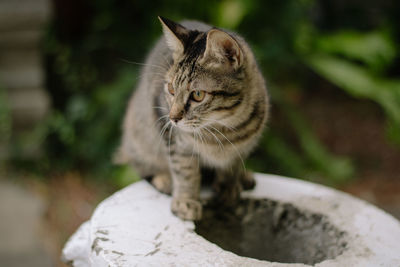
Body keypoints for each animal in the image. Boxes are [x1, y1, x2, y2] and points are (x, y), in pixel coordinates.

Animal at [115, 17, 268, 222]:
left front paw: (228, 188)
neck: (223, 128)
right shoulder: (173, 138)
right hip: (139, 136)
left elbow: (232, 165)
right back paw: (163, 179)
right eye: (171, 89)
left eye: (197, 95)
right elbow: (185, 171)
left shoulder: (243, 147)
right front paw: (186, 201)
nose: (173, 117)